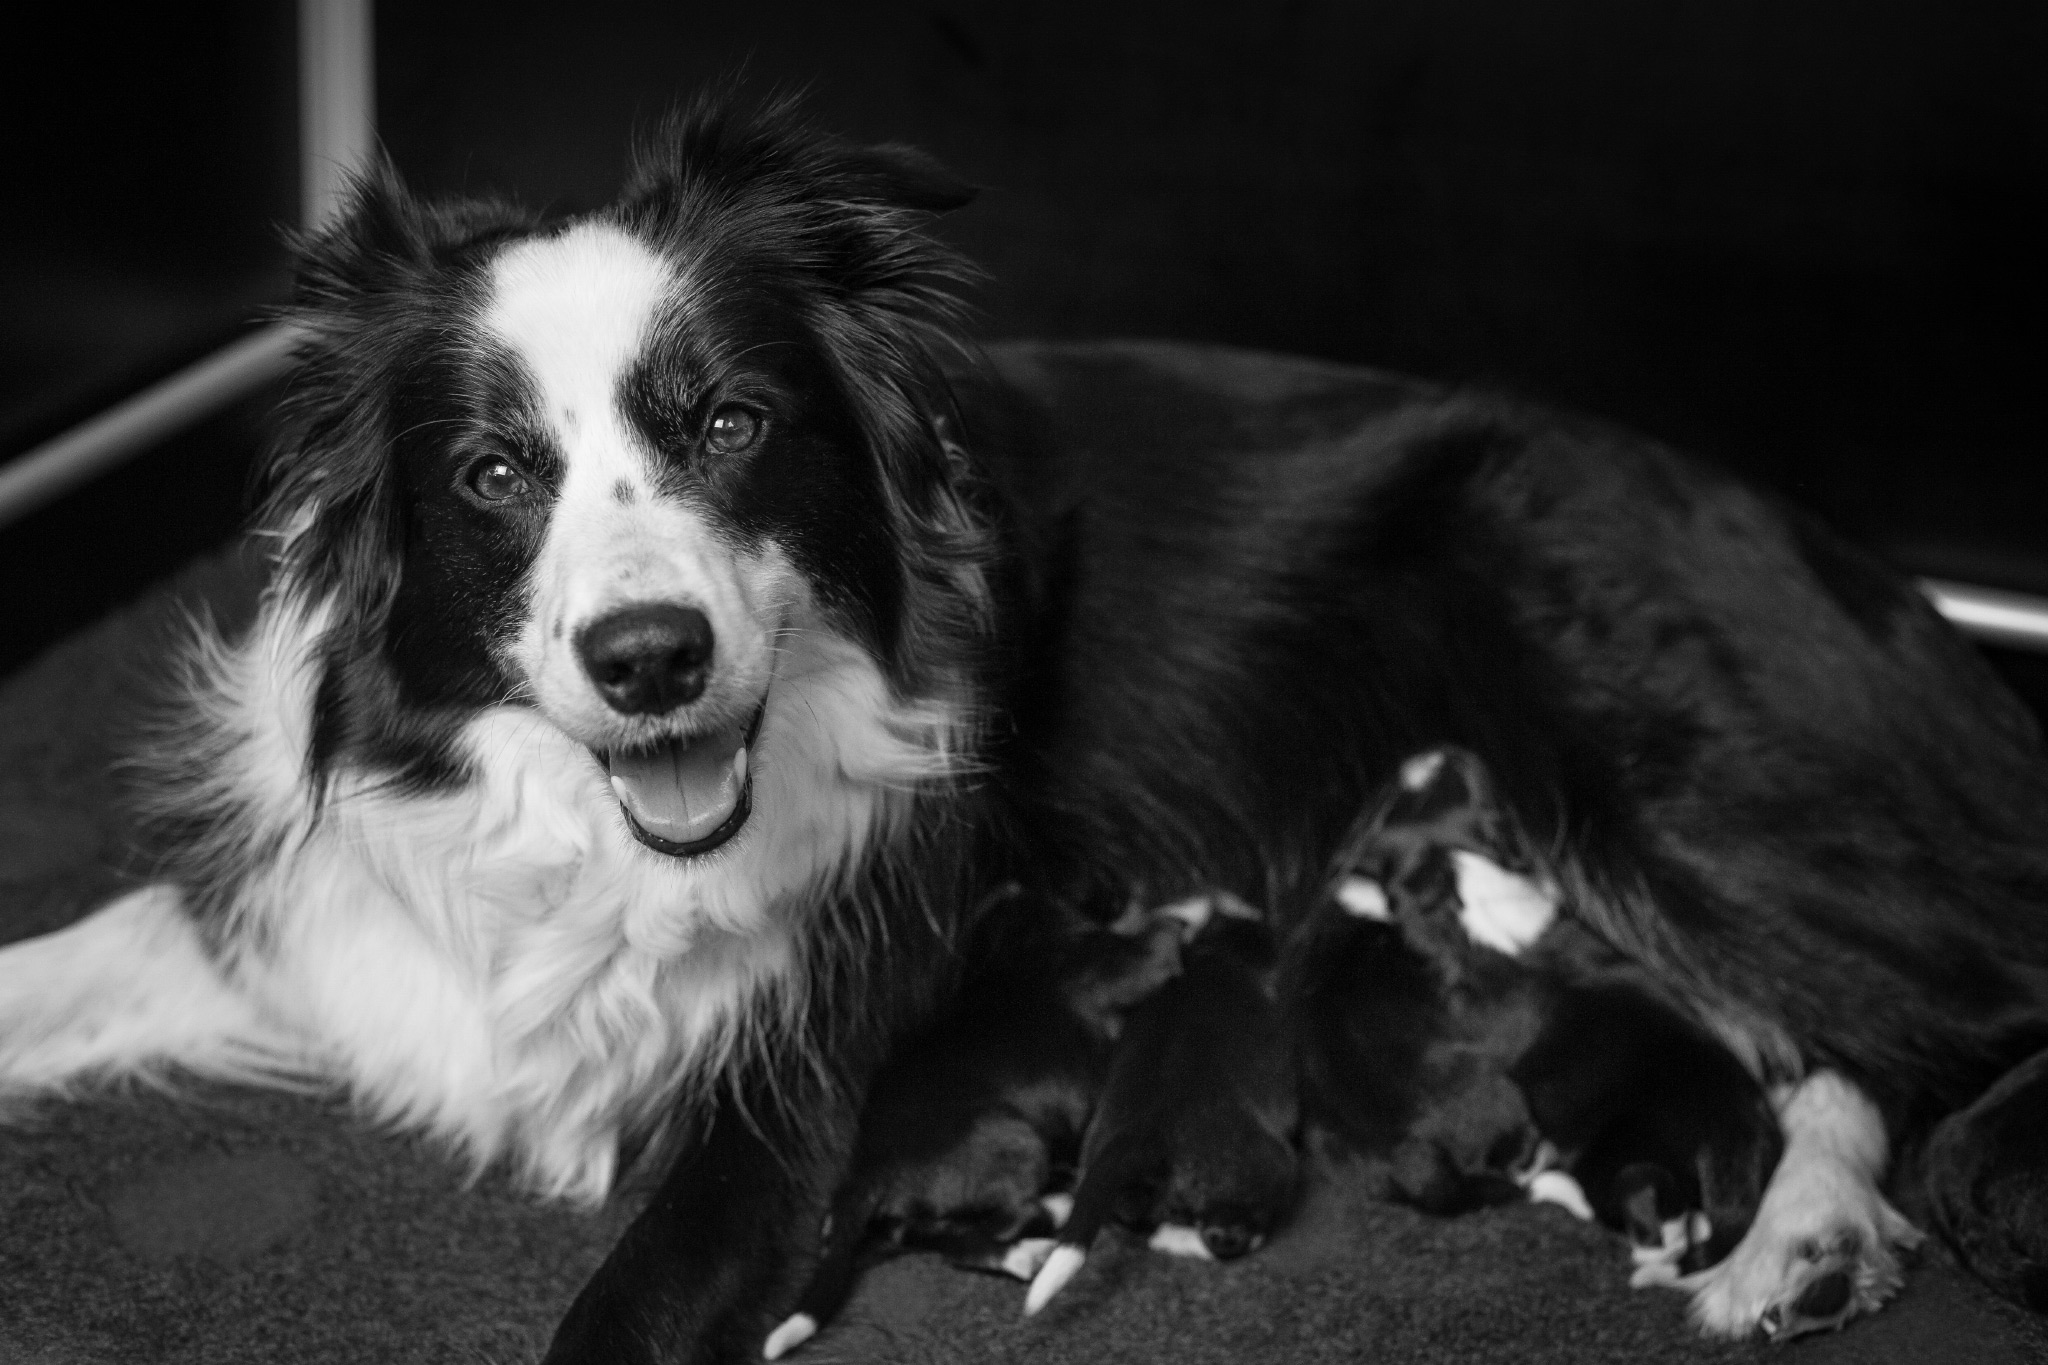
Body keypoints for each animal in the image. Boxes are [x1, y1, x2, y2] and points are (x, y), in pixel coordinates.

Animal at [765, 888, 1187, 1358]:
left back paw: (1023, 1254)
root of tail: (865, 1171)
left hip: (926, 1212)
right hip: (1016, 1139)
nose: (1122, 893)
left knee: (957, 1244)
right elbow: (1162, 934)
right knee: (1010, 1217)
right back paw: (1056, 1210)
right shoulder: (1129, 958)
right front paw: (1190, 911)